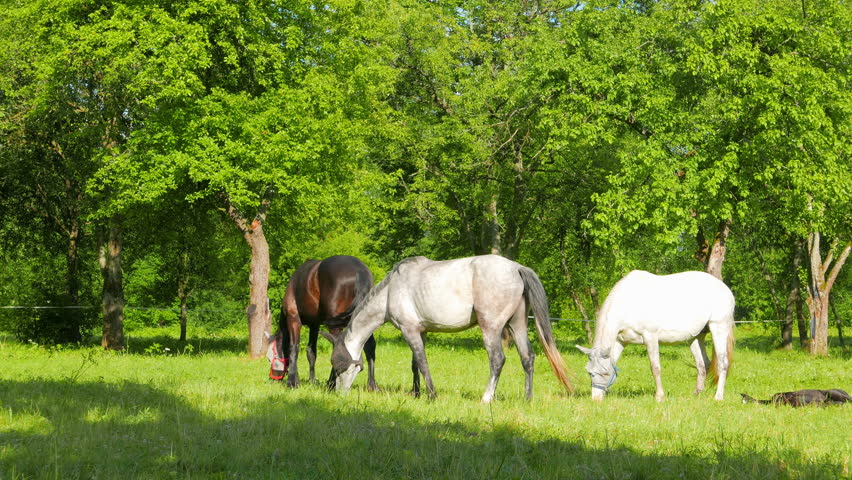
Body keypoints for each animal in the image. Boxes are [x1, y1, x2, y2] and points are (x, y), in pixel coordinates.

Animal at [264, 255, 374, 390]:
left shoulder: (293, 319)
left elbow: (293, 348)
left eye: (269, 358)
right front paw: (312, 381)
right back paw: (372, 385)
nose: (272, 379)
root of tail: (360, 271)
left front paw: (292, 382)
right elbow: (311, 352)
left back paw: (331, 383)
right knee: (370, 347)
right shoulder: (314, 325)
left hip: (336, 326)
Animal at [330, 253, 576, 404]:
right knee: (528, 358)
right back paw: (527, 398)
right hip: (517, 325)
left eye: (339, 366)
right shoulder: (421, 331)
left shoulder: (410, 331)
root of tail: (516, 268)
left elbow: (422, 363)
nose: (336, 392)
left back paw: (486, 398)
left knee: (497, 360)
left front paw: (431, 395)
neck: (391, 290)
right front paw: (417, 393)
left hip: (491, 328)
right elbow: (415, 365)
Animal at [576, 270, 736, 402]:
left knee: (722, 363)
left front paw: (659, 396)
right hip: (695, 337)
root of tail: (725, 288)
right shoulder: (620, 341)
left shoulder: (650, 338)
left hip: (718, 328)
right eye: (589, 372)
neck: (628, 303)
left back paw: (718, 396)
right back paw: (696, 394)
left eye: (604, 373)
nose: (596, 399)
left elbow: (655, 368)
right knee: (703, 364)